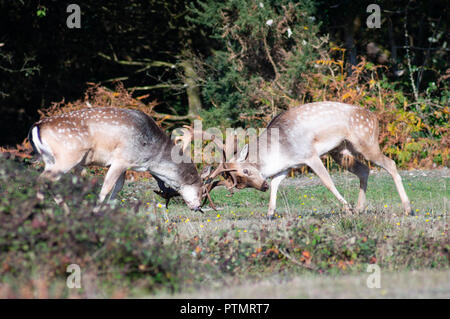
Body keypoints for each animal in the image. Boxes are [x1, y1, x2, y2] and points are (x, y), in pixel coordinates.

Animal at [27, 108, 204, 212]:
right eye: (201, 188)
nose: (198, 207)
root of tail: (36, 127)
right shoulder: (121, 159)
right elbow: (106, 187)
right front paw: (96, 211)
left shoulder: (125, 165)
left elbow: (118, 187)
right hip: (68, 155)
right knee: (42, 178)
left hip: (49, 159)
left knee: (47, 180)